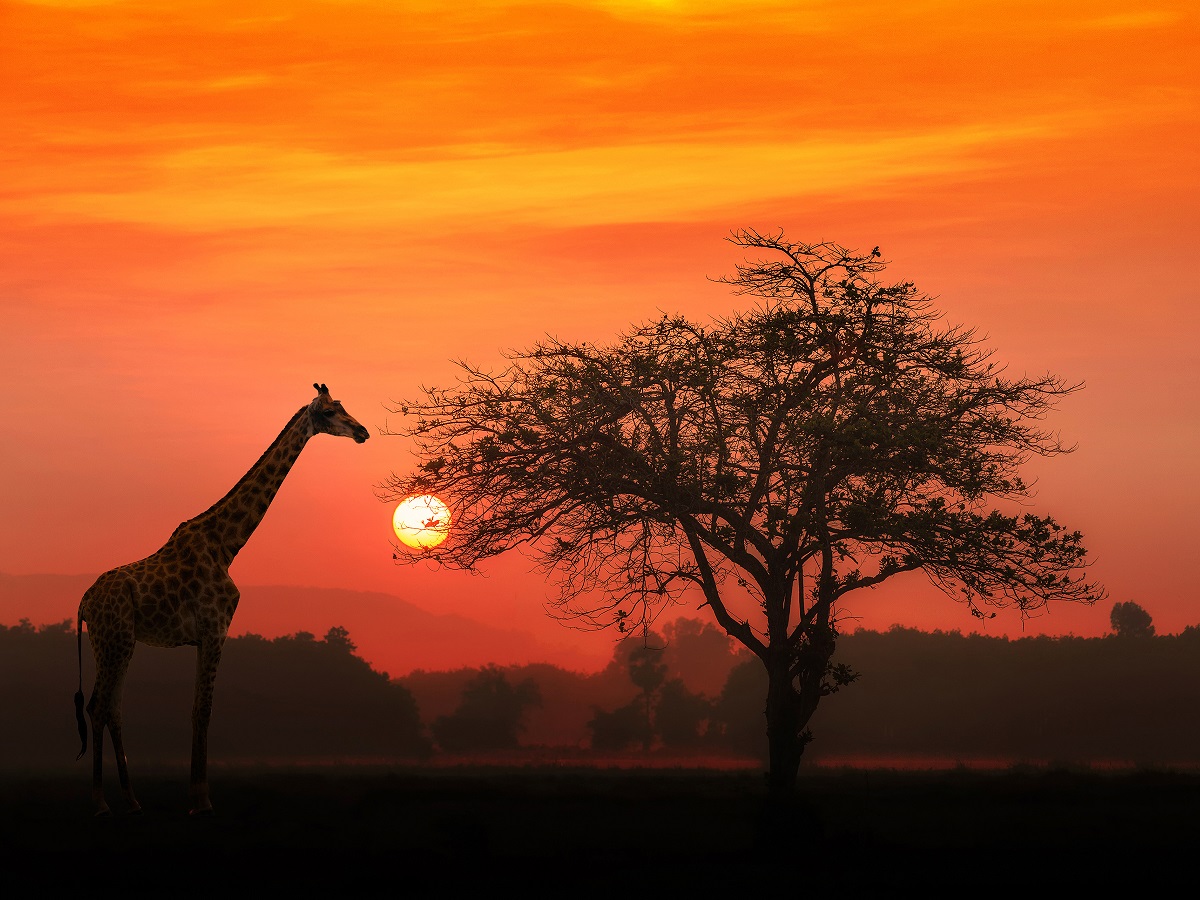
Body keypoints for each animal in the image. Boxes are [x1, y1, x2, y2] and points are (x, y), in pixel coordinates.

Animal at [73, 383, 370, 816]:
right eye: (330, 412)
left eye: (343, 406)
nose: (363, 432)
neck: (227, 544)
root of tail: (83, 603)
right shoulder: (215, 629)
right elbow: (203, 711)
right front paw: (201, 800)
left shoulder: (205, 635)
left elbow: (199, 709)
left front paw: (196, 796)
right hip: (113, 641)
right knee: (98, 707)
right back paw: (99, 803)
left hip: (119, 643)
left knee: (112, 708)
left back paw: (131, 799)